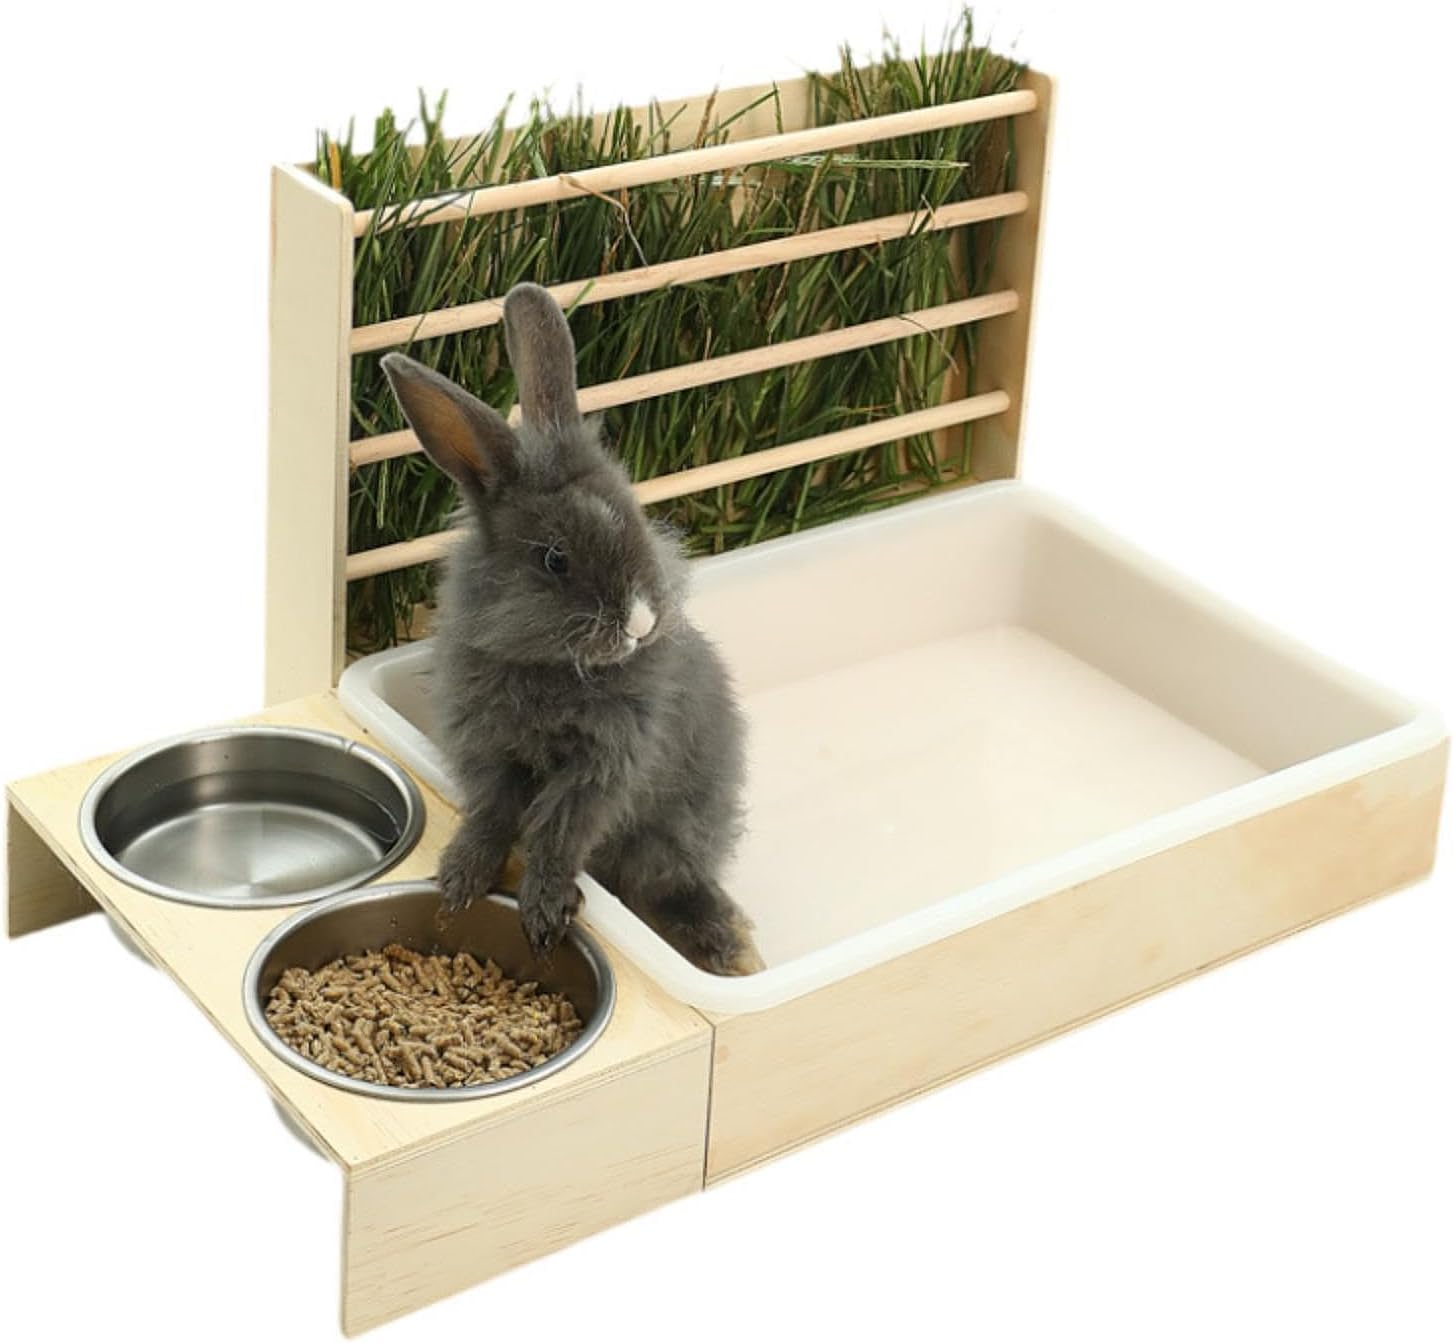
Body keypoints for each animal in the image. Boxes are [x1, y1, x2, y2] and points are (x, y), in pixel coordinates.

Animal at [380, 284, 764, 977]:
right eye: (555, 559)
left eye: (637, 519)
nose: (641, 621)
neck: (546, 665)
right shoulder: (489, 751)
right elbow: (492, 816)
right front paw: (458, 882)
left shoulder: (602, 767)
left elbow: (558, 835)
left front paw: (544, 911)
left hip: (674, 832)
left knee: (674, 884)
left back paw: (730, 948)